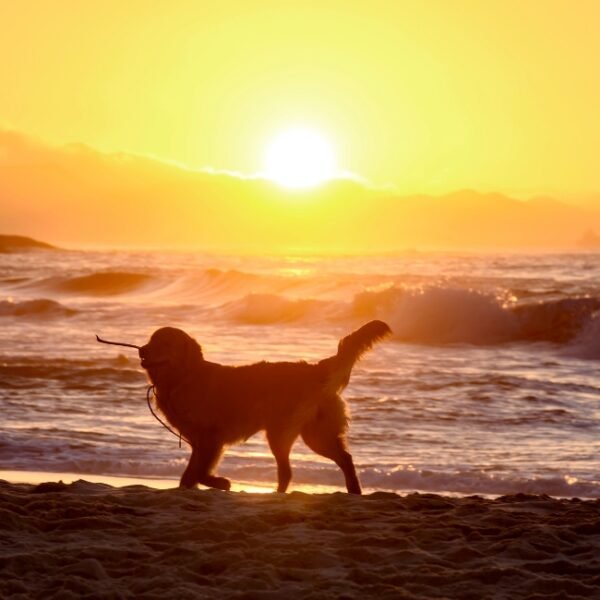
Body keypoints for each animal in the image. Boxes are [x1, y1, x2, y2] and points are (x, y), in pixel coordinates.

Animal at [141, 322, 394, 494]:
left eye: (164, 342)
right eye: (151, 340)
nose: (141, 350)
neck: (183, 377)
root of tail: (314, 369)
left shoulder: (211, 438)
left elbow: (200, 472)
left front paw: (221, 483)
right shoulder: (199, 441)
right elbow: (190, 475)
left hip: (285, 433)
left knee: (293, 470)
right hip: (313, 434)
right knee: (342, 459)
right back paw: (352, 491)